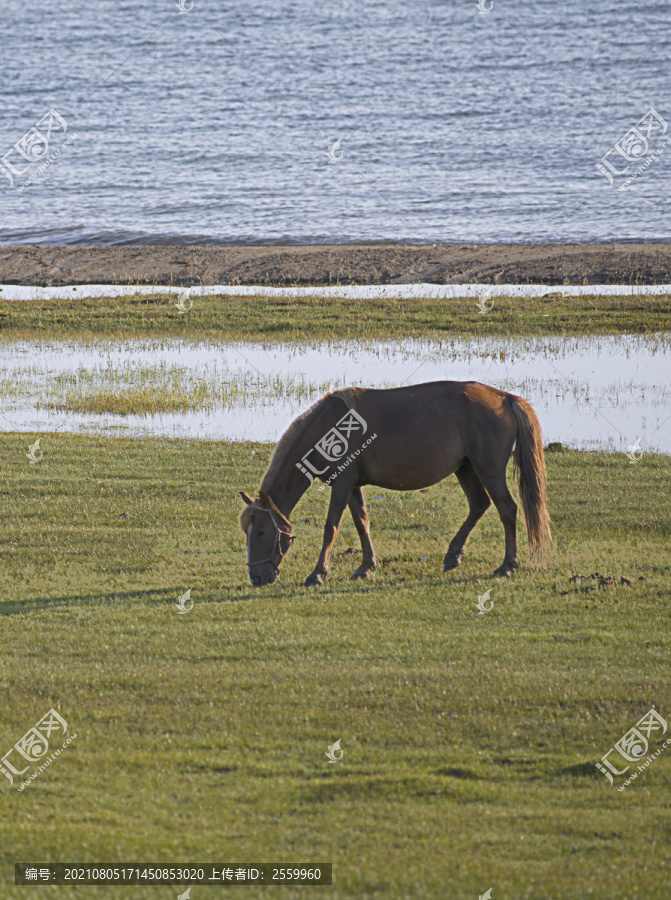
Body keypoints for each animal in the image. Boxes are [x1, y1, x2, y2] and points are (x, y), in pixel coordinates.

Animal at [240, 382, 552, 588]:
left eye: (262, 532)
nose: (256, 577)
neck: (328, 428)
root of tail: (505, 398)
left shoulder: (342, 485)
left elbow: (331, 528)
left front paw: (318, 573)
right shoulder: (352, 486)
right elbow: (362, 523)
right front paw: (366, 567)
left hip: (489, 471)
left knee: (507, 510)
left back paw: (508, 565)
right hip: (466, 469)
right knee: (479, 504)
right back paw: (453, 555)